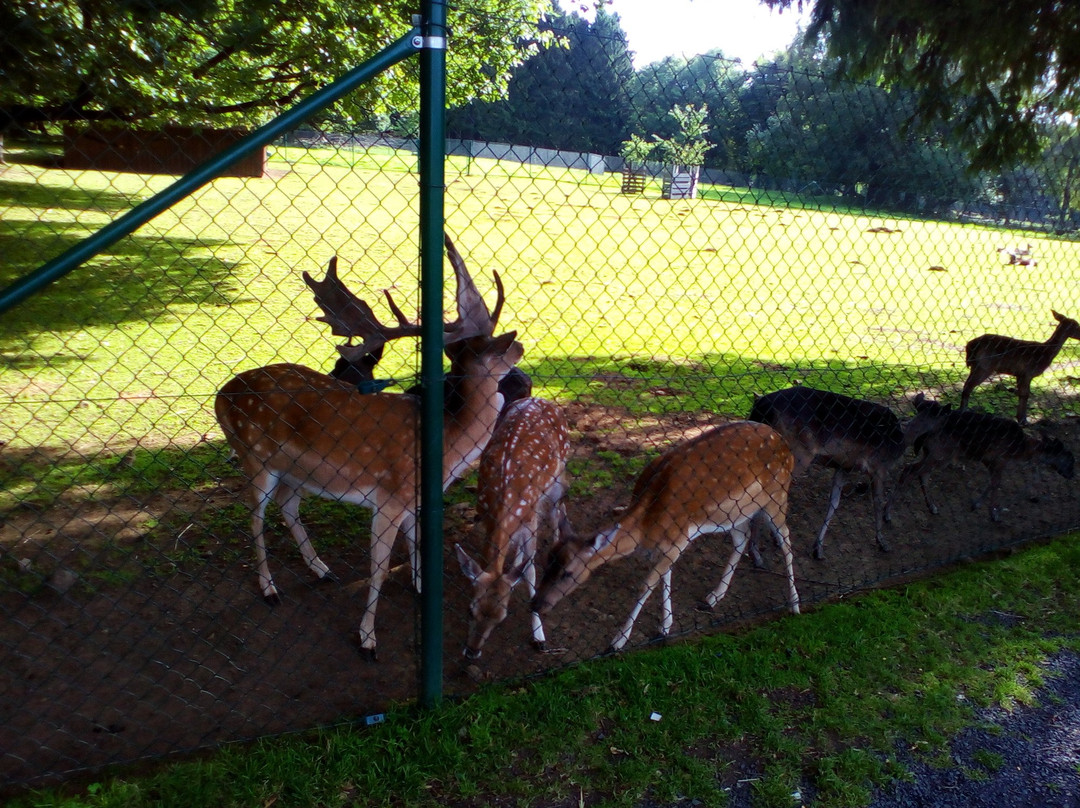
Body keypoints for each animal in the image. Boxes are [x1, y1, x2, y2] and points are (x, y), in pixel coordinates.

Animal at [216, 232, 522, 656]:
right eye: (498, 347)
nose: (521, 346)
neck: (445, 447)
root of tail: (220, 396)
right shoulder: (389, 499)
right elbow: (378, 569)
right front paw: (367, 639)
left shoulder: (413, 501)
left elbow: (417, 544)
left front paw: (421, 589)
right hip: (253, 455)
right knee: (255, 515)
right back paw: (270, 589)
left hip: (296, 471)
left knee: (287, 505)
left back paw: (322, 569)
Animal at [455, 395, 574, 656]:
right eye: (470, 609)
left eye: (502, 618)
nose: (472, 652)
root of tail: (539, 397)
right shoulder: (485, 515)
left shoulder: (530, 519)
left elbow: (531, 571)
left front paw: (539, 636)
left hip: (558, 474)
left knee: (558, 511)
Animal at [533, 419, 803, 652]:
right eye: (546, 561)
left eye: (568, 573)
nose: (536, 603)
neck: (645, 527)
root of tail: (784, 443)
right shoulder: (668, 544)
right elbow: (666, 576)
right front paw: (665, 626)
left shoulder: (678, 538)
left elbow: (647, 584)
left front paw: (618, 640)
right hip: (736, 512)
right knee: (742, 538)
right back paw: (713, 597)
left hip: (777, 495)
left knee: (786, 539)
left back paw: (794, 604)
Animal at [747, 388, 907, 557]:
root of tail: (761, 406)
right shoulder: (879, 466)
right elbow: (877, 502)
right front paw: (882, 541)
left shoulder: (844, 467)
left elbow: (834, 503)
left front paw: (818, 548)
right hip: (795, 455)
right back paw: (756, 551)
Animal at [885, 393, 1071, 520]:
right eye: (1068, 458)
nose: (1072, 474)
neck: (1019, 450)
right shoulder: (999, 459)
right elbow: (996, 483)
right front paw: (994, 514)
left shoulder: (990, 461)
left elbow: (992, 482)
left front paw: (977, 505)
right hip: (940, 453)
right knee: (910, 470)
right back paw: (888, 514)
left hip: (932, 452)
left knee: (921, 473)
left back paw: (932, 507)